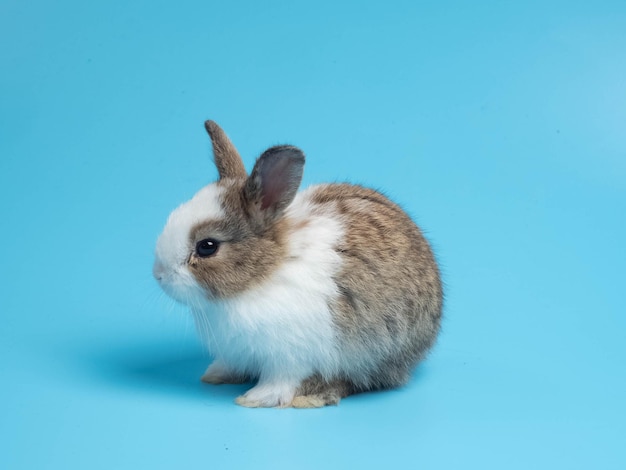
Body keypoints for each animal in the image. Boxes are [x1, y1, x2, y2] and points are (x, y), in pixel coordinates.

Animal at [153, 121, 442, 408]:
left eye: (207, 246)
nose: (159, 275)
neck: (262, 275)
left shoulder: (289, 357)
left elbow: (280, 381)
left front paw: (255, 399)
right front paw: (215, 374)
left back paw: (313, 397)